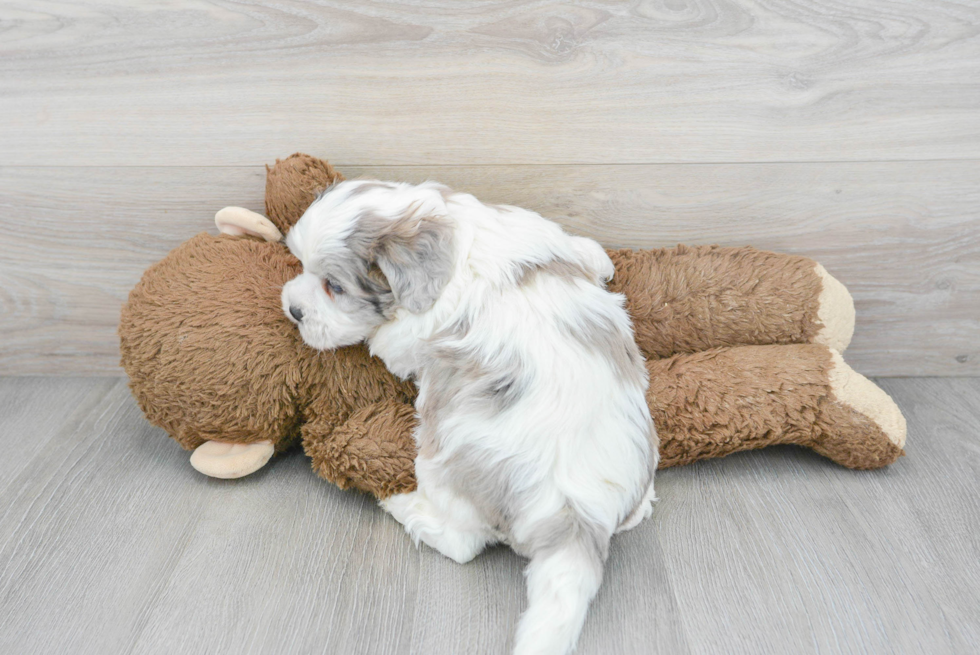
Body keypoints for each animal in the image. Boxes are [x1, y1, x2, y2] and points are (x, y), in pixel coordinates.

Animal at [284, 179, 660, 655]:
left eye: (334, 286)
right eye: (300, 263)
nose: (293, 310)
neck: (454, 240)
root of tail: (575, 515)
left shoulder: (408, 338)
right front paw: (598, 257)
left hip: (444, 465)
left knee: (462, 543)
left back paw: (403, 506)